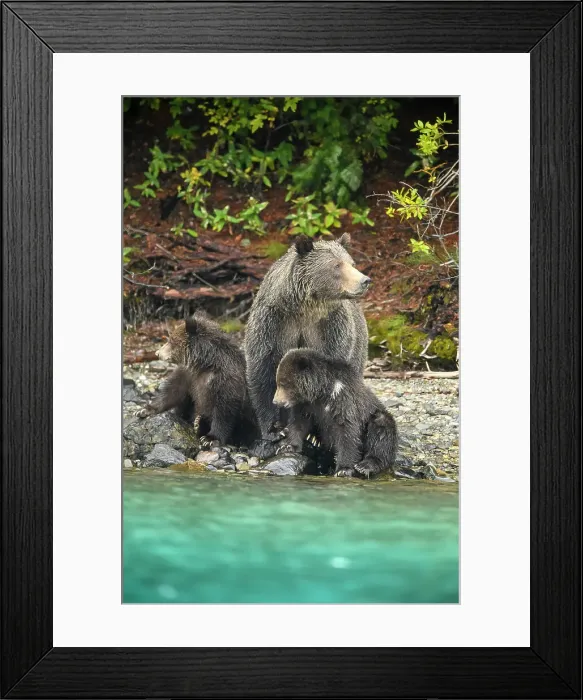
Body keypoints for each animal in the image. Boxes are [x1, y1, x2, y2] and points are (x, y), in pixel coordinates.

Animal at [138, 312, 259, 447]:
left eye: (171, 340)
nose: (157, 353)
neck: (205, 364)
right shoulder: (188, 375)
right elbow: (172, 392)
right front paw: (145, 410)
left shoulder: (226, 381)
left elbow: (224, 410)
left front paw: (210, 438)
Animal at [244, 232, 370, 441]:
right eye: (337, 265)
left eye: (351, 263)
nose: (365, 280)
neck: (305, 309)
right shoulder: (273, 324)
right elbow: (263, 372)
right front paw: (273, 429)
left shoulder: (330, 329)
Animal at [273, 348, 398, 478]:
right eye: (278, 382)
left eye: (284, 383)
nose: (275, 401)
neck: (322, 392)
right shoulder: (306, 406)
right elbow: (298, 423)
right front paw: (287, 446)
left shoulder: (343, 400)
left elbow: (347, 432)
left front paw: (343, 469)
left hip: (375, 417)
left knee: (381, 428)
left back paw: (366, 465)